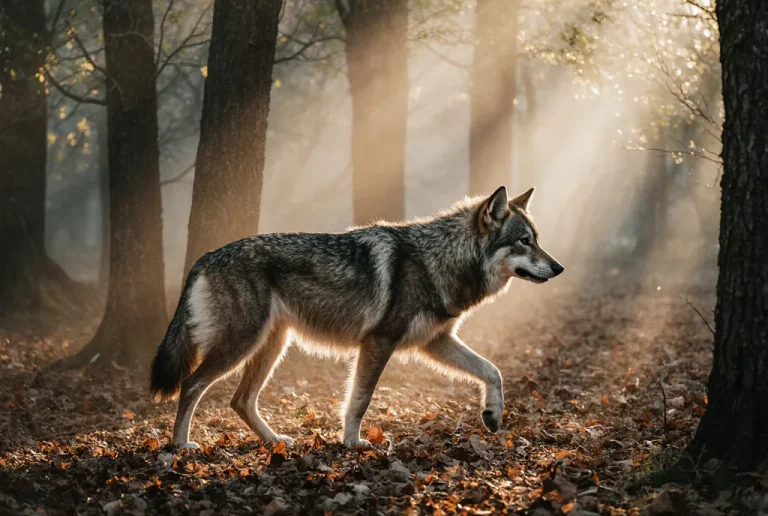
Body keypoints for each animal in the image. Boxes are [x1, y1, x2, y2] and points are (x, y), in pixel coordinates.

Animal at [150, 186, 564, 449]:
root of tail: (204, 257)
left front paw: (493, 414)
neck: (439, 260)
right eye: (525, 241)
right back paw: (180, 445)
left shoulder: (435, 342)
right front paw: (352, 443)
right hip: (242, 345)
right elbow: (360, 399)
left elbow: (492, 370)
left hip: (272, 346)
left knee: (240, 400)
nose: (559, 268)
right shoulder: (379, 342)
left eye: (537, 239)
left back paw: (275, 442)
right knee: (191, 385)